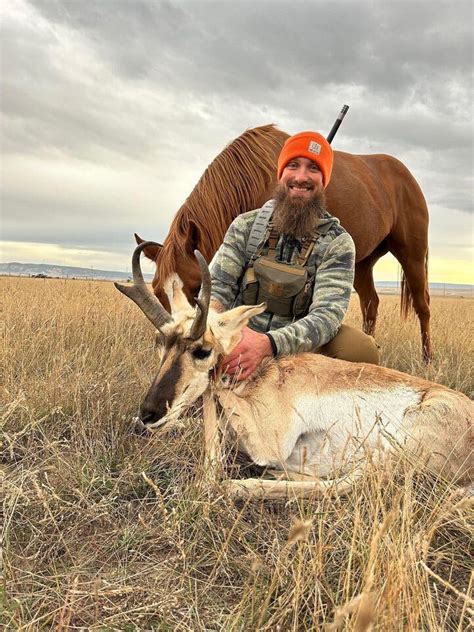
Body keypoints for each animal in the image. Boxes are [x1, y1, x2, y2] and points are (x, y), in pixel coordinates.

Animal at [115, 244, 474, 496]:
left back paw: (243, 484)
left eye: (202, 351)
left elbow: (212, 411)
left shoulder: (267, 442)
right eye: (160, 342)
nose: (149, 412)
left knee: (348, 484)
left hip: (394, 446)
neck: (263, 373)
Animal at [135, 124, 432, 360]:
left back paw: (427, 359)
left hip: (412, 253)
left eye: (196, 289)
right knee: (371, 304)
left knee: (422, 305)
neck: (253, 177)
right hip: (361, 262)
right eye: (158, 292)